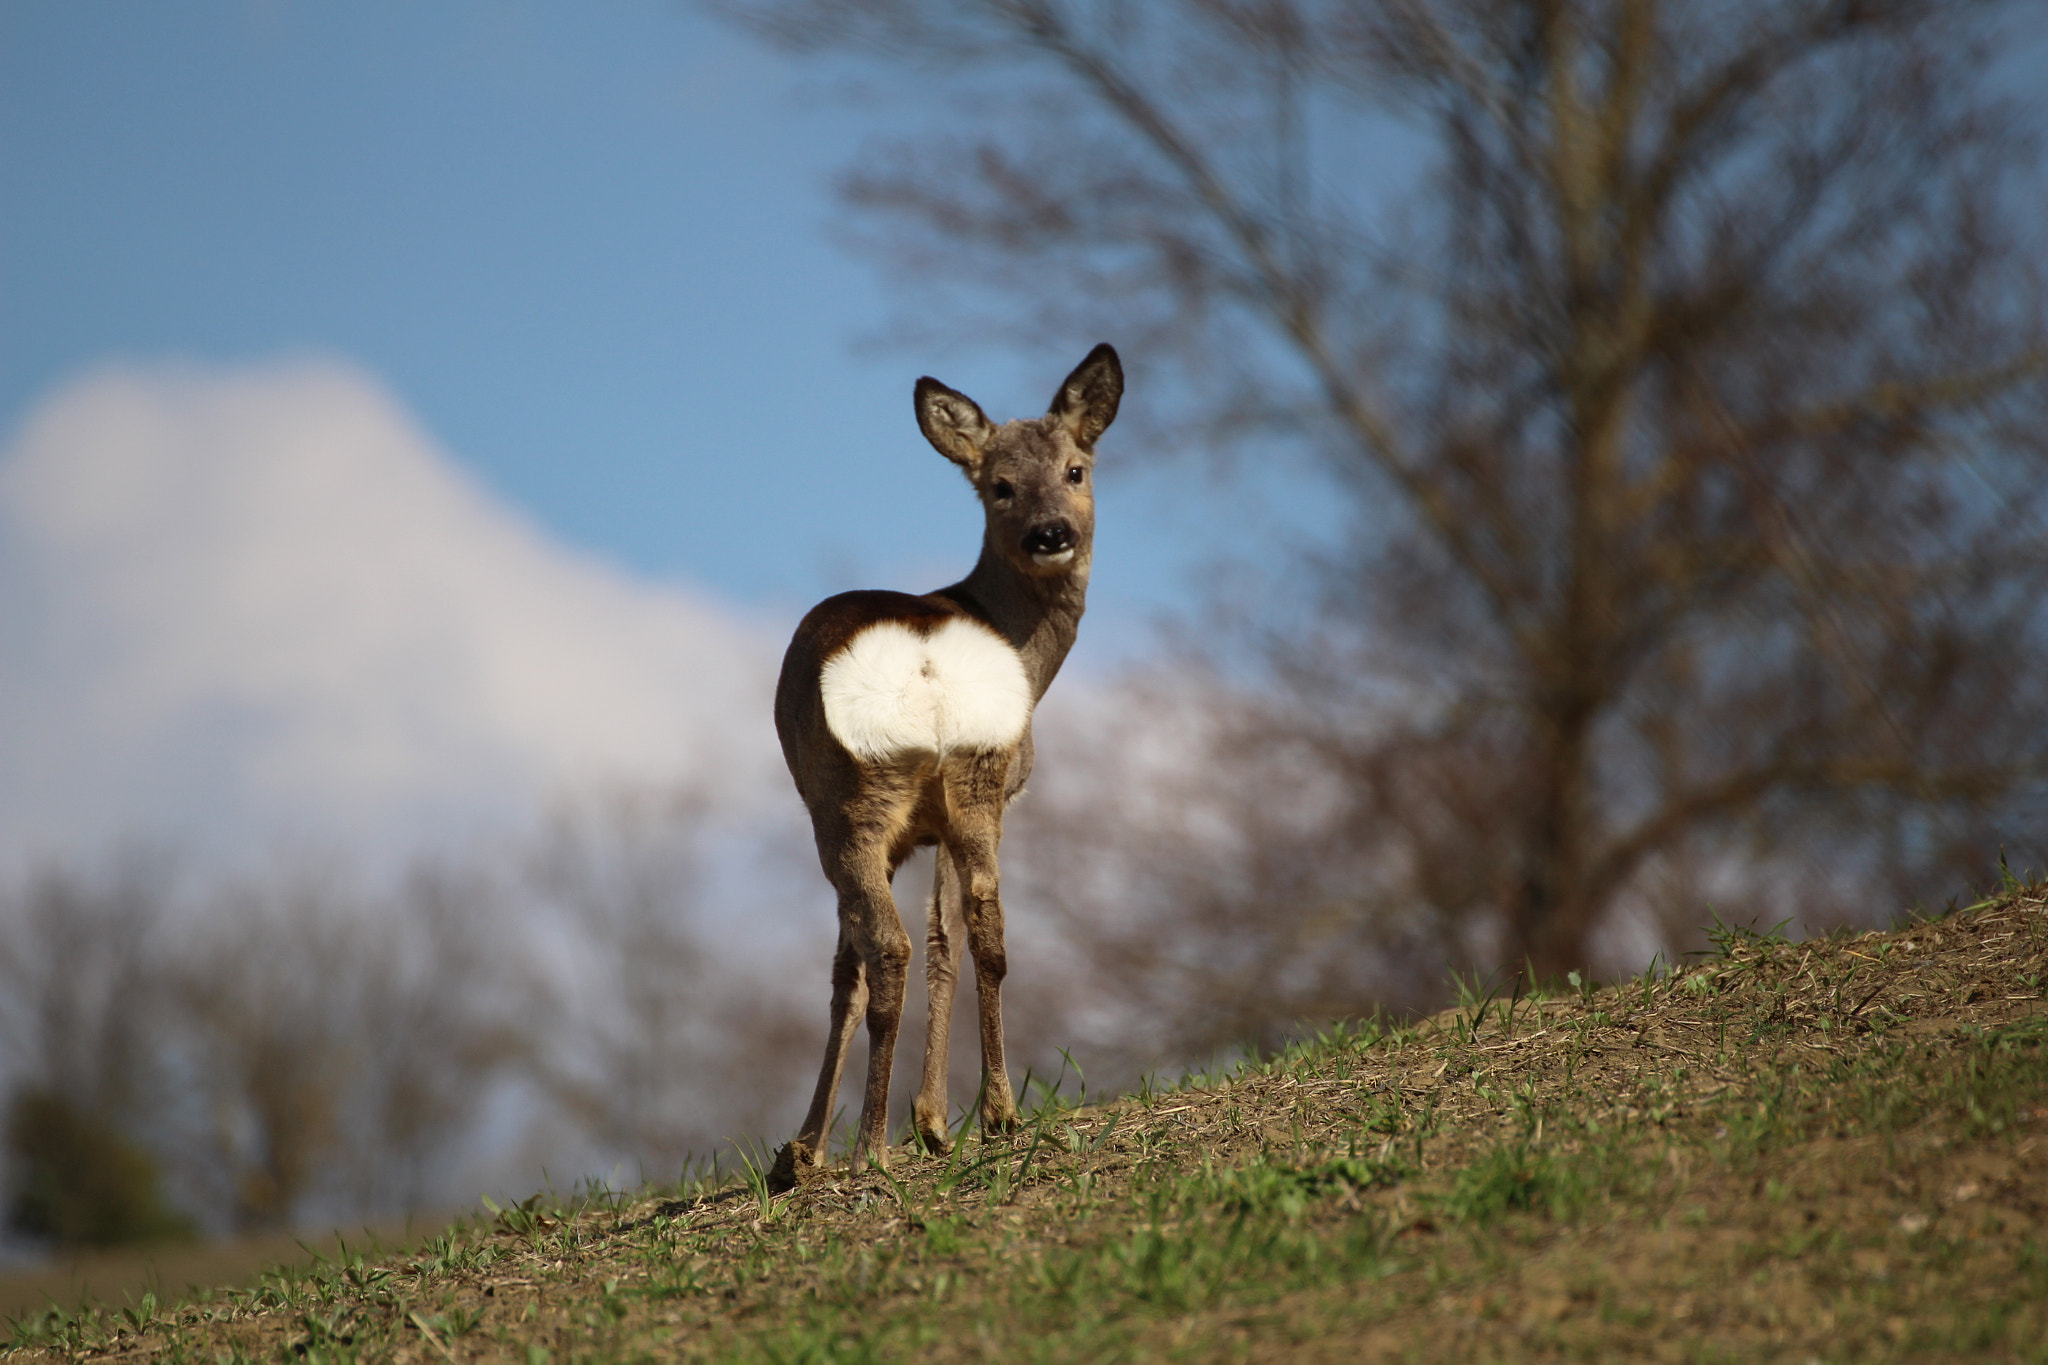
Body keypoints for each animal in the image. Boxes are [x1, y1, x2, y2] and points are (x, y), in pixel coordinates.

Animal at [770, 341, 1130, 1186]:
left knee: (887, 950)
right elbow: (952, 937)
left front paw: (812, 1146)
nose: (1049, 533)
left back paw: (869, 1142)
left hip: (850, 805)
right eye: (999, 486)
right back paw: (996, 1111)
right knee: (985, 927)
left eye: (1075, 468)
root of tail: (929, 663)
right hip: (970, 777)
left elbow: (854, 970)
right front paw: (934, 1122)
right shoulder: (985, 802)